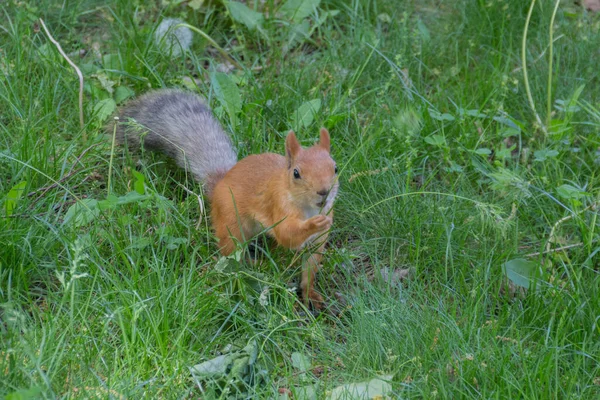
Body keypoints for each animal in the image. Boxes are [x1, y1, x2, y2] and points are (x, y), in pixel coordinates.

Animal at [112, 90, 338, 310]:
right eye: (296, 173)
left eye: (335, 168)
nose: (324, 192)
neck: (308, 208)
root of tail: (220, 183)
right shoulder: (278, 207)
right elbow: (286, 234)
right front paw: (314, 223)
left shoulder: (319, 237)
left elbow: (310, 267)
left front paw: (310, 294)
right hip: (231, 222)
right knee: (231, 250)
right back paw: (248, 267)